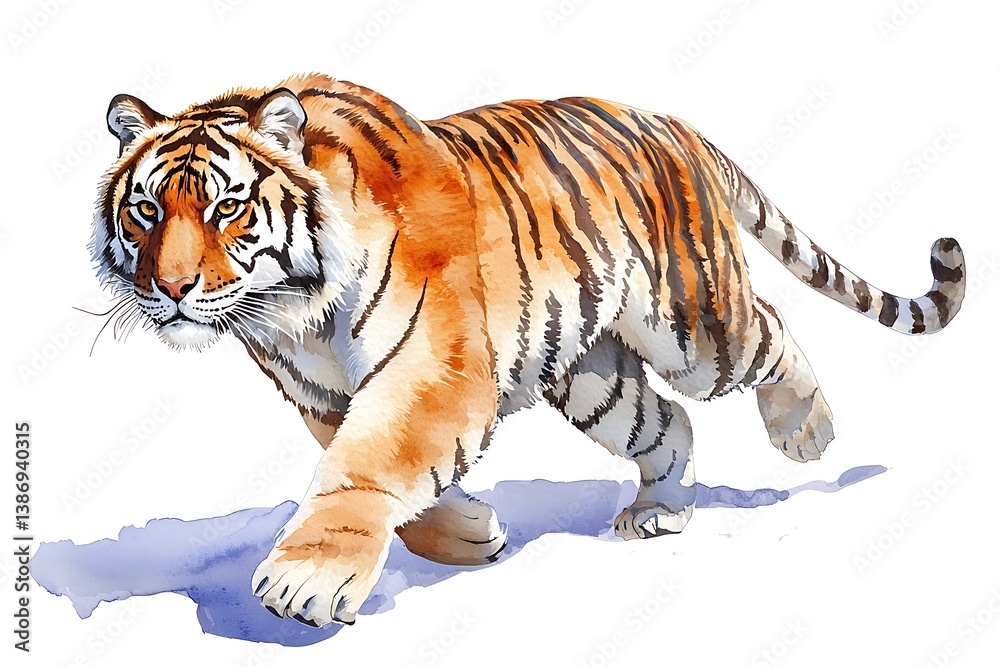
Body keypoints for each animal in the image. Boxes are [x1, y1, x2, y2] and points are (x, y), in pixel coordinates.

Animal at [93, 73, 965, 628]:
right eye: (145, 210)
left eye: (227, 207)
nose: (169, 287)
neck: (290, 313)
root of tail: (677, 125)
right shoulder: (324, 395)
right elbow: (380, 476)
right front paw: (470, 535)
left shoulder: (435, 367)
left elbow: (368, 466)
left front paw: (306, 577)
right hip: (590, 373)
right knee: (669, 424)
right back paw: (661, 511)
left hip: (694, 326)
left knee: (770, 330)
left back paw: (806, 432)